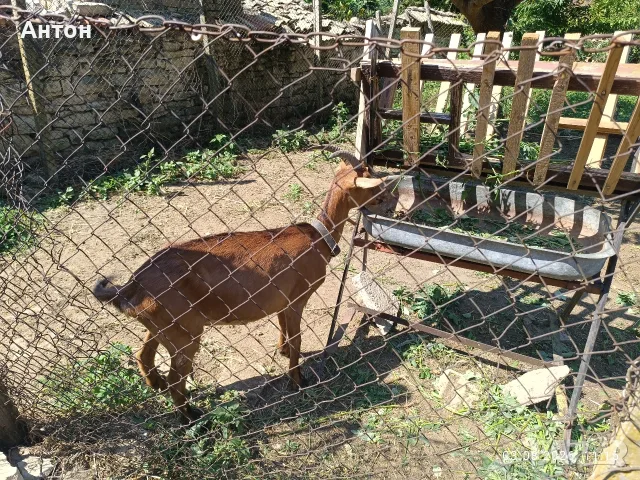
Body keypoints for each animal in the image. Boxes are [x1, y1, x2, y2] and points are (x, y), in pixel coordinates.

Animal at [92, 151, 388, 422]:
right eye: (371, 181)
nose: (385, 198)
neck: (318, 238)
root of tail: (132, 286)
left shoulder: (281, 301)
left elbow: (283, 330)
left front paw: (282, 352)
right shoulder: (297, 298)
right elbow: (297, 338)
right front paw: (297, 380)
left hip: (161, 325)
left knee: (143, 356)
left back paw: (159, 387)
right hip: (184, 332)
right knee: (176, 376)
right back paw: (190, 417)